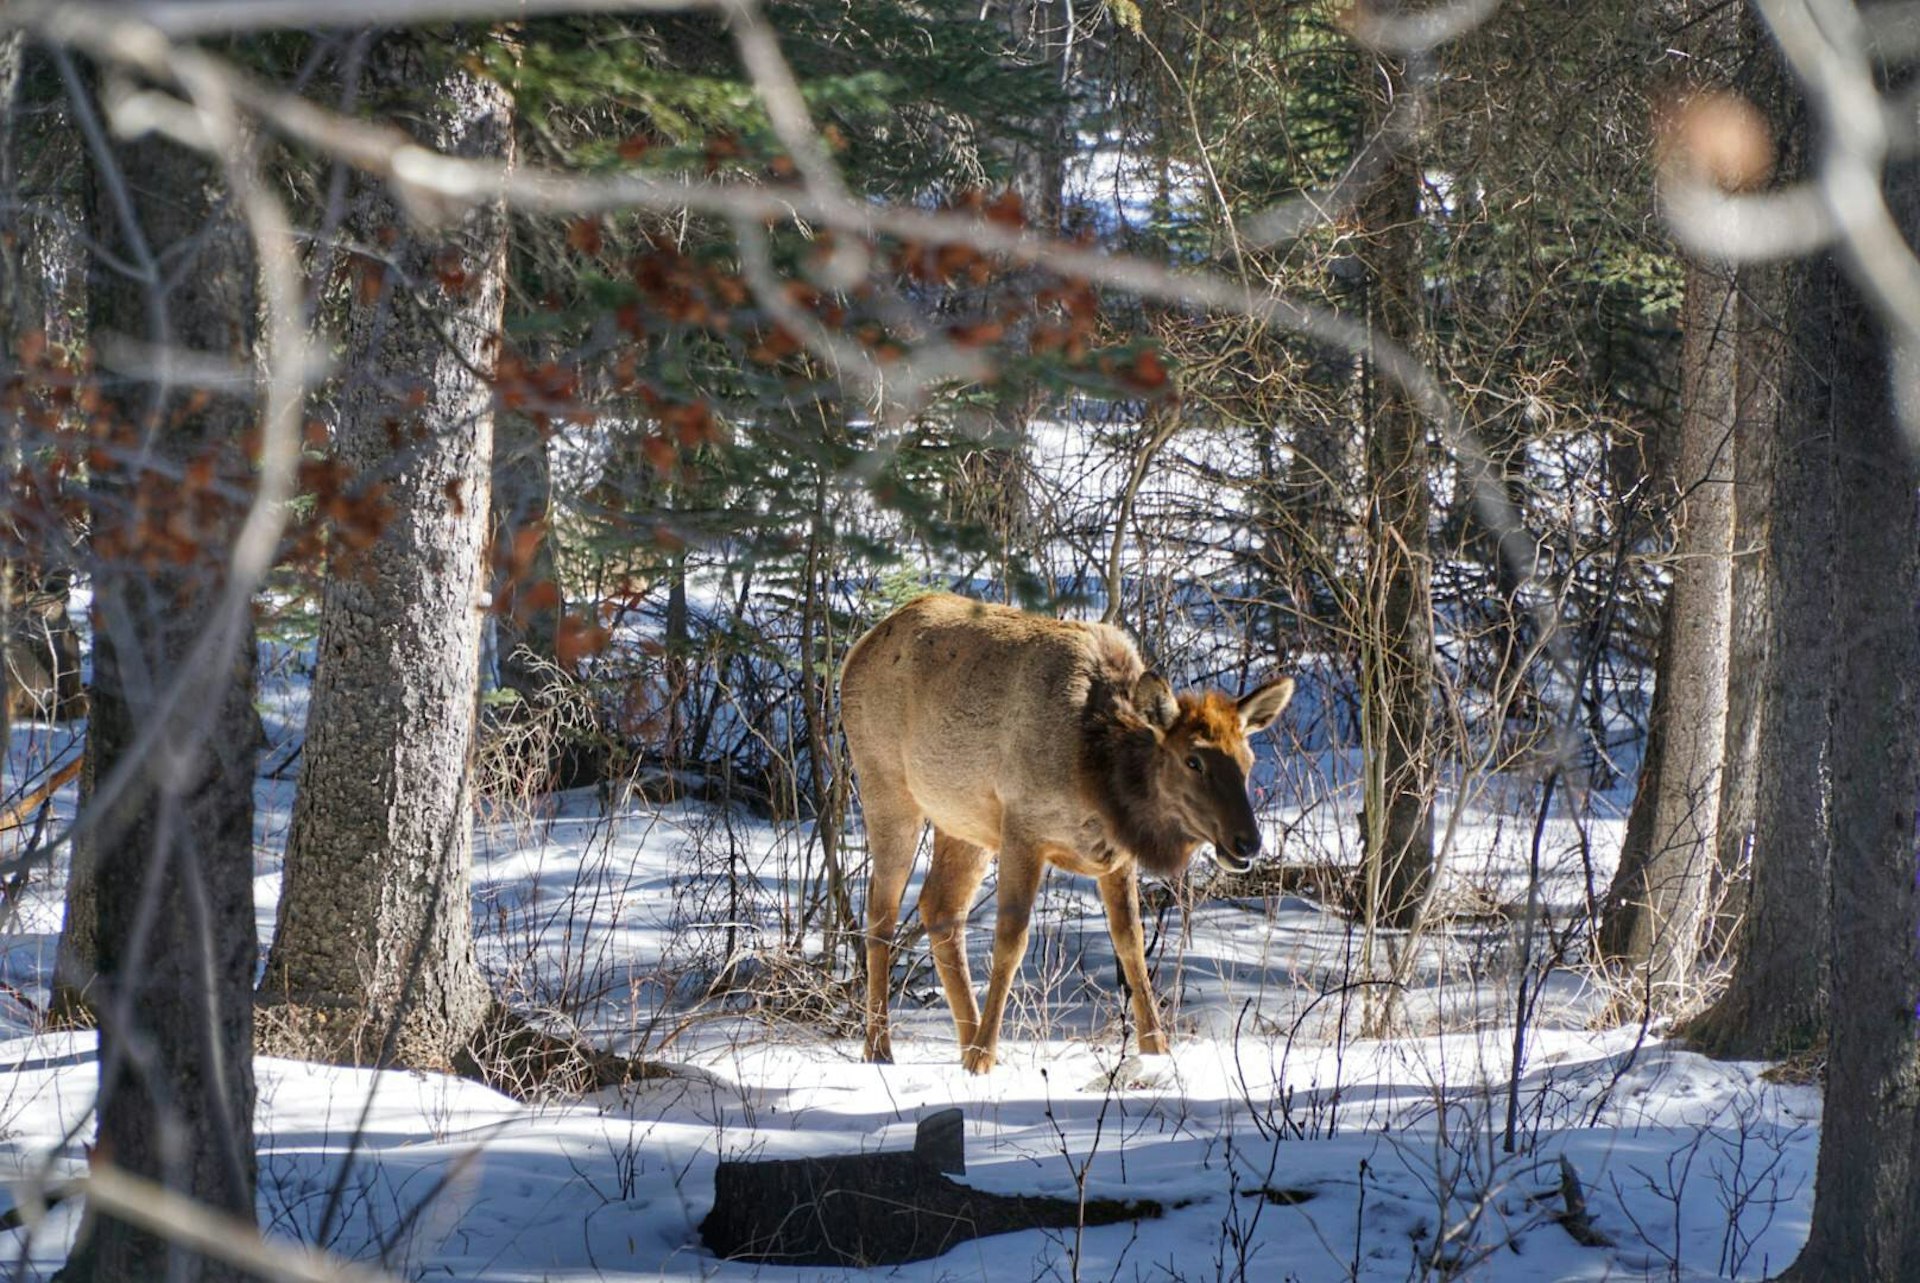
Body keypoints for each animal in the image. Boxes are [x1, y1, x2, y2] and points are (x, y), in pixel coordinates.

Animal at [840, 595, 1290, 1075]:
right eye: (1193, 761)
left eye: (1247, 758)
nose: (1247, 842)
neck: (1095, 771)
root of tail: (857, 651)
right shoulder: (1023, 826)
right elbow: (1011, 941)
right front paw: (984, 1058)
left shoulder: (1115, 854)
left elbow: (1131, 942)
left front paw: (1156, 1047)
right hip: (885, 784)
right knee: (881, 912)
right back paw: (882, 1046)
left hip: (964, 821)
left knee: (940, 906)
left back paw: (964, 1040)